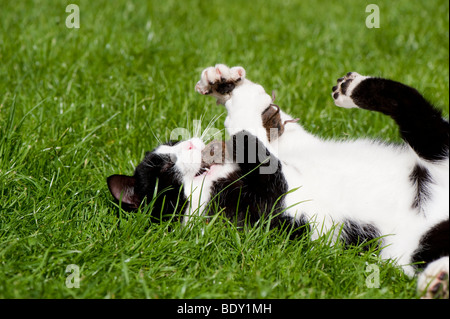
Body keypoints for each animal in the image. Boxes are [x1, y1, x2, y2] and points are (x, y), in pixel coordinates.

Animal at [107, 63, 448, 298]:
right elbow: (251, 140)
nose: (190, 144)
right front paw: (240, 103)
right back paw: (437, 281)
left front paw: (226, 84)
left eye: (173, 143)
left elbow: (280, 133)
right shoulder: (271, 203)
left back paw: (349, 87)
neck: (224, 181)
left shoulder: (300, 152)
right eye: (164, 168)